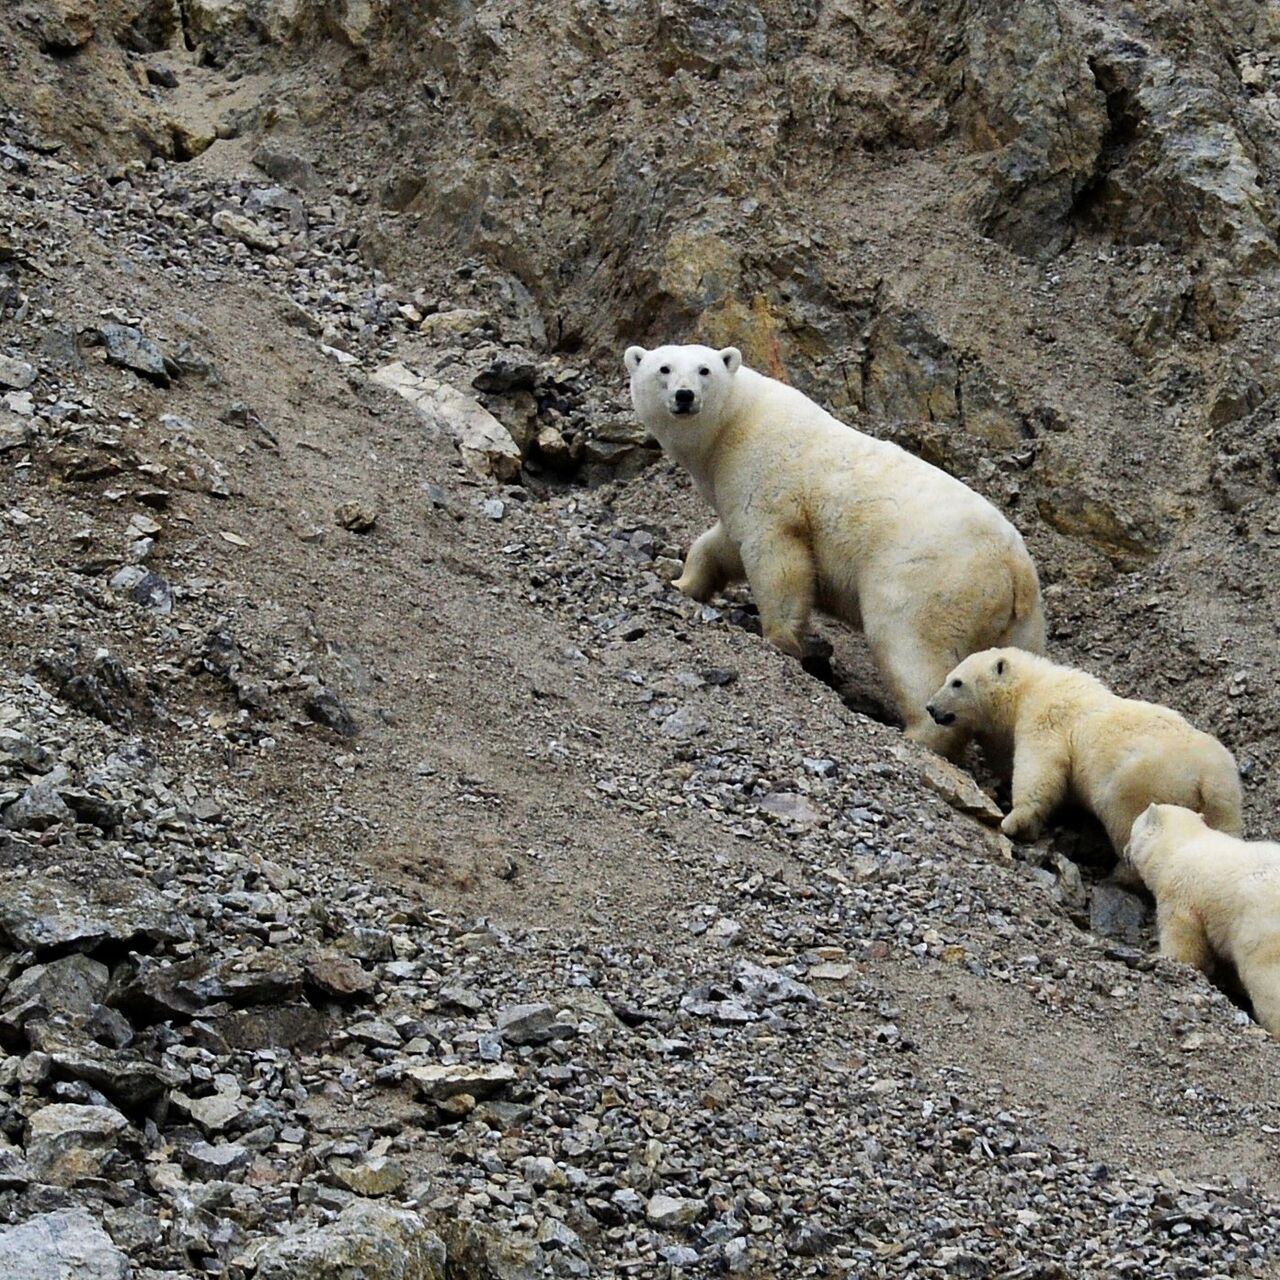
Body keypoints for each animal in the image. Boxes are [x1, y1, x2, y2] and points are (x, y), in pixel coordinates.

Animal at [624, 343, 1044, 757]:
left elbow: (777, 556)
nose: (684, 396)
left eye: (704, 370)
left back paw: (918, 734)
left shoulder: (766, 478)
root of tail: (1013, 565)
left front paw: (779, 638)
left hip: (930, 582)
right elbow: (721, 545)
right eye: (663, 368)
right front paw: (681, 582)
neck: (735, 423)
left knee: (910, 648)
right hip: (1020, 623)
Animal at [926, 650, 1244, 860]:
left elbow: (1040, 768)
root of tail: (1207, 778)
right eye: (948, 678)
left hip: (1142, 785)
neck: (1032, 684)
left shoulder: (1046, 715)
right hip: (1225, 805)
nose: (931, 707)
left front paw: (1014, 821)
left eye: (957, 682)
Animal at [1131, 808, 1280, 1039]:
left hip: (1261, 925)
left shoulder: (1181, 892)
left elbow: (1183, 937)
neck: (1184, 842)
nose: (1124, 850)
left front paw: (1161, 957)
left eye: (1132, 829)